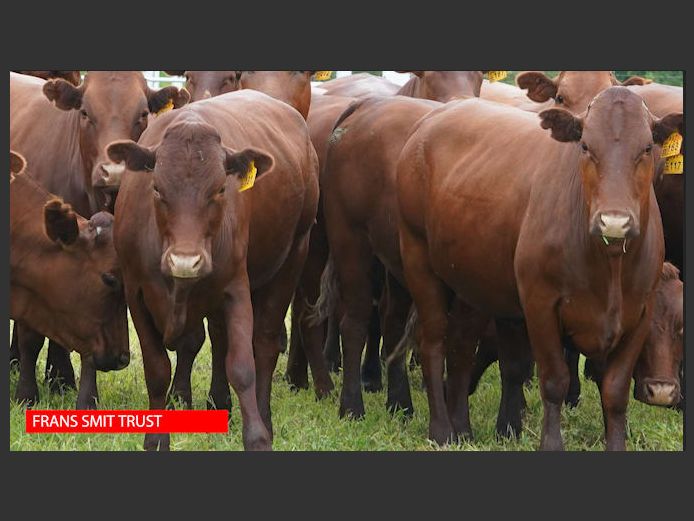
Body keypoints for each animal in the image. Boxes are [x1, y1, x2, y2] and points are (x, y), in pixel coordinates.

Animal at [109, 87, 320, 448]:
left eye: (221, 189)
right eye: (156, 188)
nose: (185, 261)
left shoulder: (236, 288)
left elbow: (243, 366)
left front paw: (258, 437)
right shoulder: (135, 292)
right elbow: (158, 369)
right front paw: (155, 439)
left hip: (294, 255)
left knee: (264, 344)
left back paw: (263, 415)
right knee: (220, 339)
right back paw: (219, 404)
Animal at [400, 88, 684, 446]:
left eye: (647, 147)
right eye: (585, 146)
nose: (614, 221)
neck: (609, 265)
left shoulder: (640, 314)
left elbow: (615, 391)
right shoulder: (540, 305)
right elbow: (554, 381)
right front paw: (550, 443)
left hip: (472, 281)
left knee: (461, 348)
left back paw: (462, 427)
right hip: (417, 258)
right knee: (434, 343)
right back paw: (441, 430)